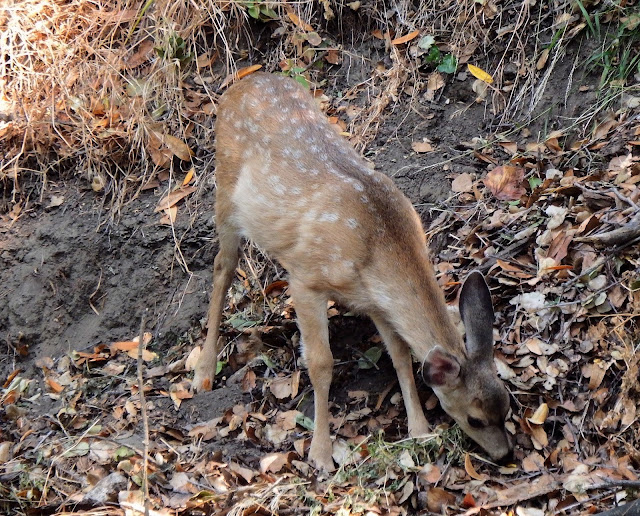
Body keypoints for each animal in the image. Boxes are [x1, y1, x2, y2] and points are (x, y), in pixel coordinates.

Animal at [192, 72, 513, 471]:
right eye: (476, 418)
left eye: (507, 406)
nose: (505, 454)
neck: (377, 245)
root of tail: (242, 83)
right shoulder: (306, 278)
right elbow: (320, 363)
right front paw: (320, 453)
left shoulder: (376, 302)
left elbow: (400, 354)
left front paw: (419, 429)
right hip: (225, 190)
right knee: (222, 267)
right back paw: (203, 372)